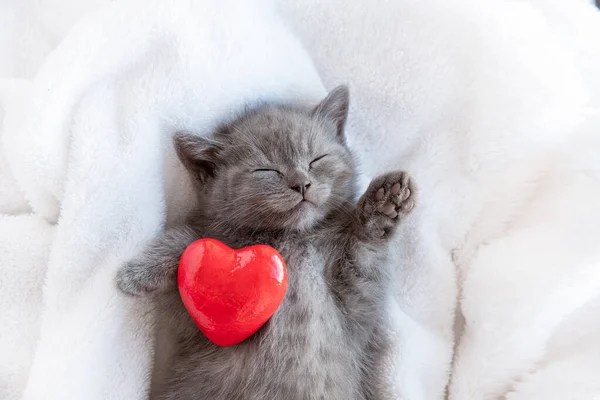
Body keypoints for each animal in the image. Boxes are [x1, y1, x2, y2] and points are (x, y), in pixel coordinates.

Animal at [118, 86, 418, 400]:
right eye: (266, 171)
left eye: (317, 159)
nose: (301, 183)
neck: (292, 238)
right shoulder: (192, 329)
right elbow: (189, 244)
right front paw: (139, 273)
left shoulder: (358, 312)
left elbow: (363, 254)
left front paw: (384, 203)